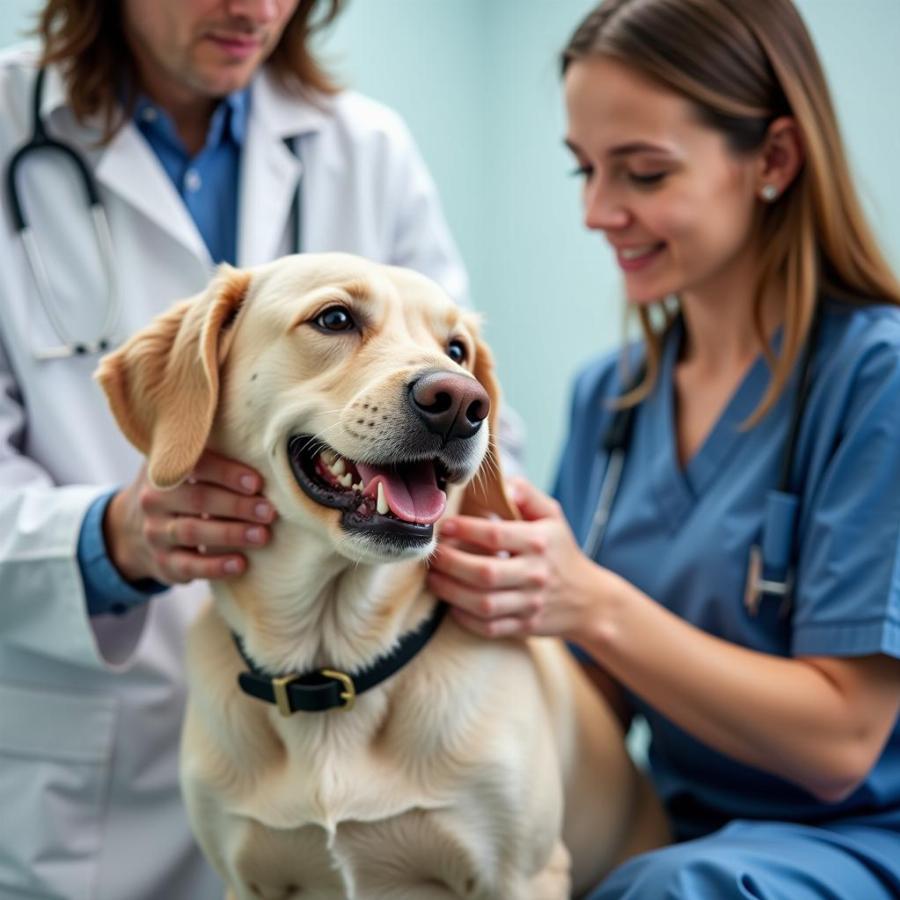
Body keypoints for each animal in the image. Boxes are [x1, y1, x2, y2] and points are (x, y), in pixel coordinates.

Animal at [96, 253, 668, 900]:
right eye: (335, 318)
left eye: (457, 349)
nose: (461, 402)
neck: (331, 663)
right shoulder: (246, 880)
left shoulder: (525, 874)